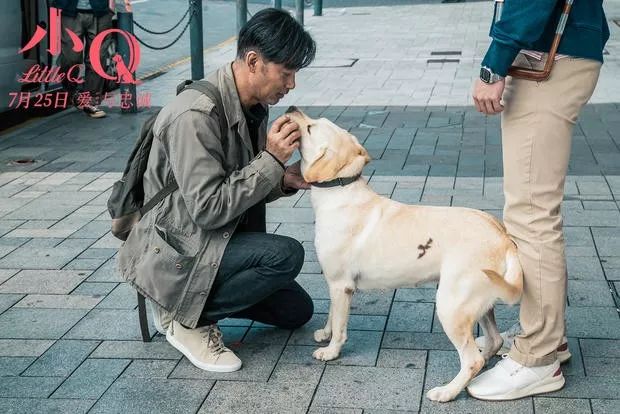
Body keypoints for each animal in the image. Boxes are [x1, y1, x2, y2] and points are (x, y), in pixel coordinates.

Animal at [286, 106, 524, 402]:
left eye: (310, 128)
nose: (291, 108)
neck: (339, 189)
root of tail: (503, 238)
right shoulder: (334, 284)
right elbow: (332, 314)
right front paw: (325, 333)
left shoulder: (341, 285)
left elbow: (340, 325)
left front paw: (331, 351)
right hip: (480, 302)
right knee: (494, 341)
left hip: (451, 305)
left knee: (472, 360)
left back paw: (447, 392)